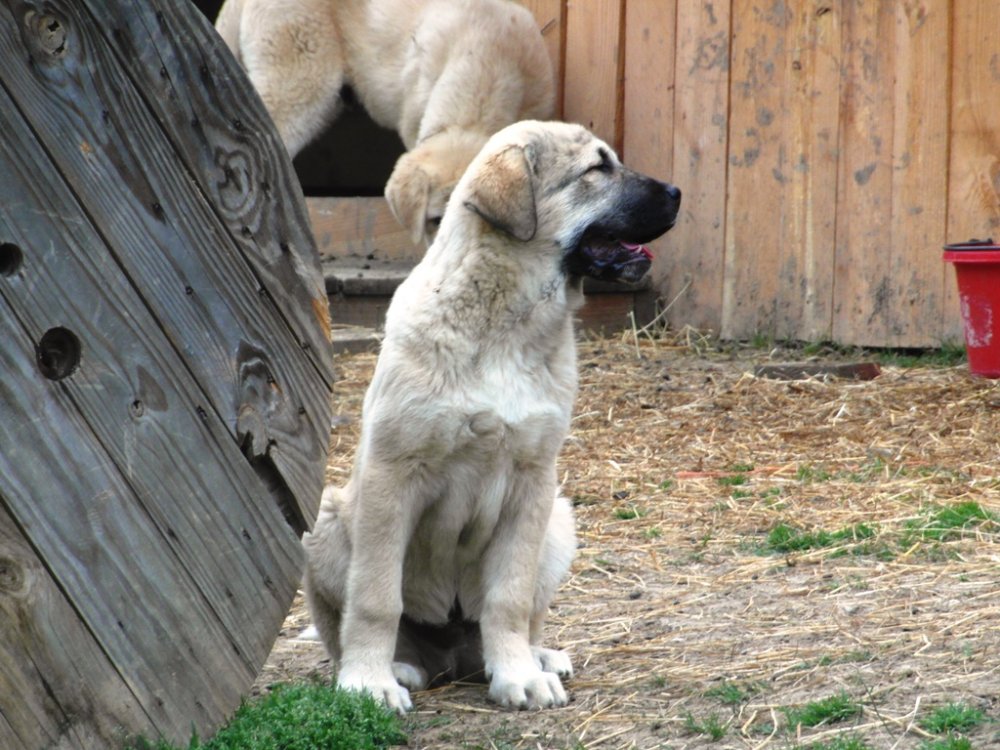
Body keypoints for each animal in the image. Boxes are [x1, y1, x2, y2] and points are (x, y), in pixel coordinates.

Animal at [300, 120, 684, 712]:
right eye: (597, 169)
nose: (679, 193)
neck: (505, 326)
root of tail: (453, 657)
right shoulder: (392, 475)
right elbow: (375, 598)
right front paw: (368, 683)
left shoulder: (532, 482)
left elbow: (510, 599)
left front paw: (518, 675)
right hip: (325, 519)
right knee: (349, 626)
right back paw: (398, 666)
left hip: (558, 520)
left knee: (520, 615)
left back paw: (536, 656)